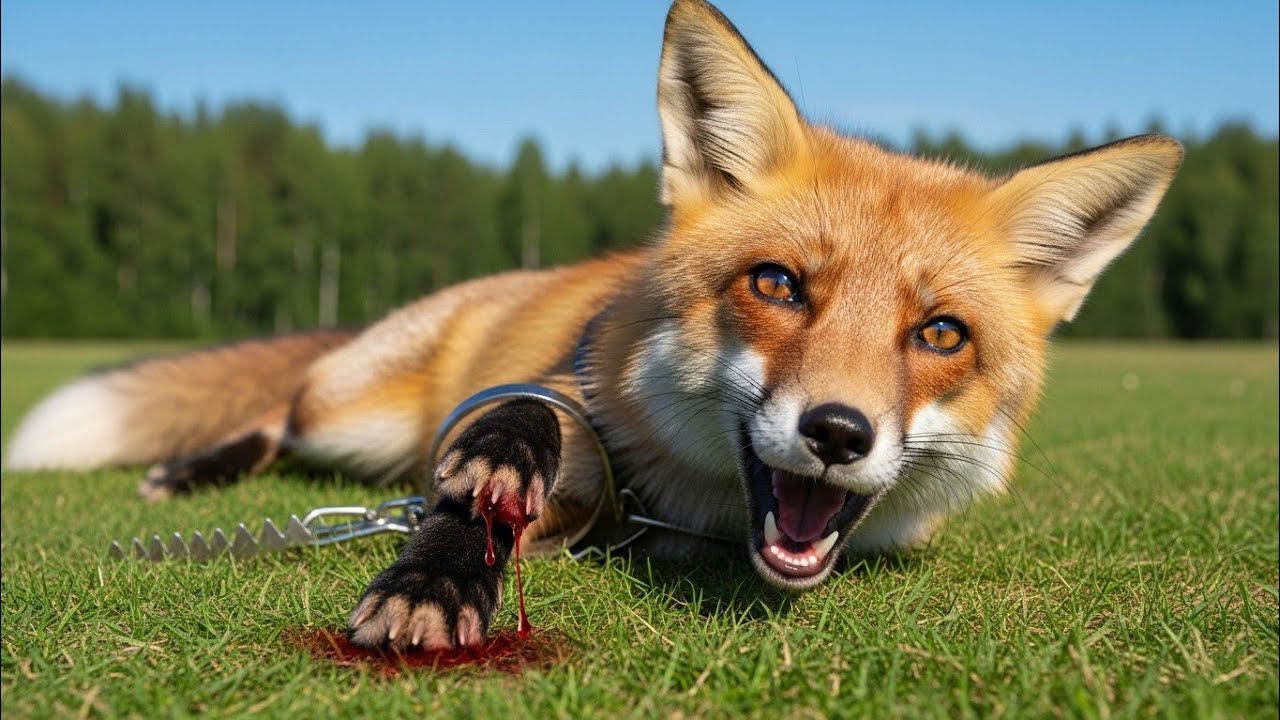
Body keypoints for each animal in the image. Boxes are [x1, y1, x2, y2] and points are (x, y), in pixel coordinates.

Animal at [5, 0, 1181, 651]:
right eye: (777, 285)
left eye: (939, 335)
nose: (837, 434)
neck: (687, 520)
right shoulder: (555, 408)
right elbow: (487, 463)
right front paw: (434, 577)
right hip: (351, 414)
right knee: (277, 413)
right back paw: (190, 470)